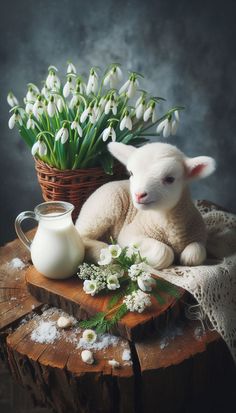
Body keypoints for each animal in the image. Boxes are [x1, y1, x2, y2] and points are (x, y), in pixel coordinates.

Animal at [75, 143, 216, 268]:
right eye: (131, 173)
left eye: (170, 179)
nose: (138, 195)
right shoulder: (130, 233)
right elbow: (164, 252)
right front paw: (132, 255)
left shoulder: (200, 237)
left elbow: (195, 253)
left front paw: (186, 258)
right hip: (104, 207)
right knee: (82, 235)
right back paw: (104, 252)